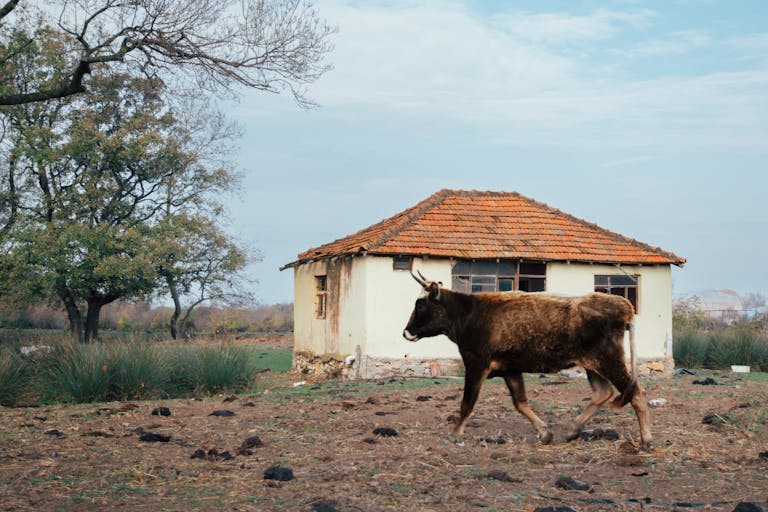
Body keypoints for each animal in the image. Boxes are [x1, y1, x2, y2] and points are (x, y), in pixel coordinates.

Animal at [403, 271, 652, 450]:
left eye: (421, 304)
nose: (406, 332)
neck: (469, 313)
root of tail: (624, 307)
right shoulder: (510, 370)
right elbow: (520, 402)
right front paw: (545, 433)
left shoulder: (475, 364)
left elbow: (467, 403)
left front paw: (454, 434)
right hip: (594, 366)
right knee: (603, 393)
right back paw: (573, 430)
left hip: (610, 362)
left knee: (636, 394)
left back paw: (646, 440)